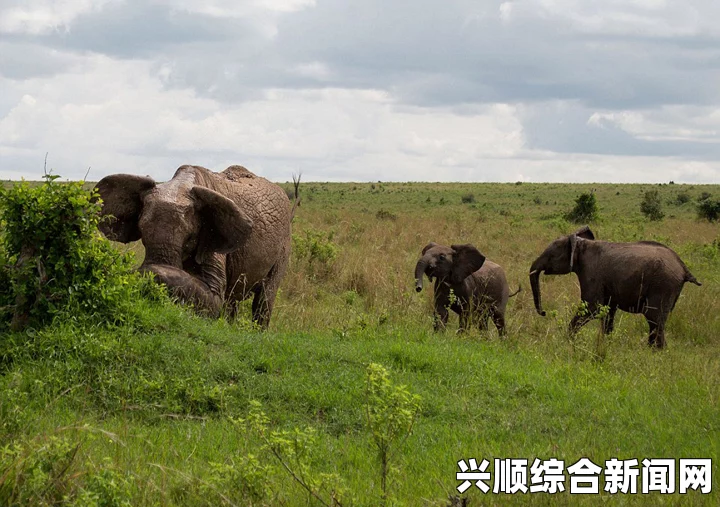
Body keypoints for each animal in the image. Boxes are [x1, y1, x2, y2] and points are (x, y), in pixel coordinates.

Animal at [95, 165, 298, 328]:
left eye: (190, 238)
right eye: (142, 233)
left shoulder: (212, 237)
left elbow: (215, 297)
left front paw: (153, 272)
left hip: (284, 244)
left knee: (264, 298)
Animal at [524, 226, 700, 350]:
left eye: (551, 256)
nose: (544, 312)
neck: (581, 244)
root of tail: (683, 268)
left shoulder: (591, 272)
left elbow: (592, 308)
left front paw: (568, 341)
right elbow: (608, 312)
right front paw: (606, 344)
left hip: (663, 284)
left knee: (654, 319)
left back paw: (657, 353)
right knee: (655, 323)